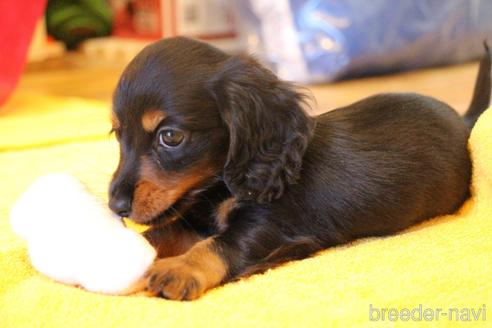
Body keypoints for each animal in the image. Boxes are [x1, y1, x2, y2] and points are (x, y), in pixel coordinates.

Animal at [109, 37, 490, 300]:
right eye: (116, 133)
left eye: (170, 137)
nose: (116, 206)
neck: (220, 185)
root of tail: (463, 119)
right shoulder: (197, 214)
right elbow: (164, 232)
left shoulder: (269, 227)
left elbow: (219, 245)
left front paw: (180, 268)